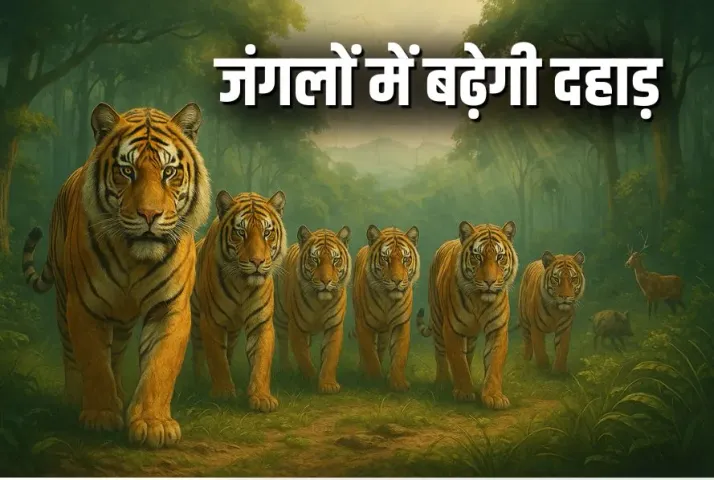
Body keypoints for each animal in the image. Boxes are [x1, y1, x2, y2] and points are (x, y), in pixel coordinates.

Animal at [21, 103, 211, 448]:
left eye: (169, 172)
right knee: (71, 352)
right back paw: (74, 399)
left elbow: (159, 366)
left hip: (122, 319)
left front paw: (152, 423)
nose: (150, 215)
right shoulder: (84, 306)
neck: (134, 258)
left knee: (118, 353)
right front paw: (100, 415)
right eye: (127, 171)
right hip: (63, 298)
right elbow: (94, 361)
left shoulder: (170, 308)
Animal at [190, 190, 287, 413]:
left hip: (232, 331)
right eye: (241, 233)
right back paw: (198, 382)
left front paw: (261, 397)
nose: (257, 261)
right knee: (199, 352)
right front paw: (223, 393)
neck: (243, 285)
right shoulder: (212, 321)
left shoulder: (261, 323)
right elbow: (216, 358)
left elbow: (261, 360)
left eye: (267, 233)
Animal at [274, 225, 352, 394]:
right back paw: (285, 368)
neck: (320, 302)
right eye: (315, 260)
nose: (326, 281)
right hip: (281, 317)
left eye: (335, 260)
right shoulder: (296, 326)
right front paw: (310, 377)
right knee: (282, 342)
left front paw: (328, 385)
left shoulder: (334, 325)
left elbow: (330, 355)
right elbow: (302, 354)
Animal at [352, 225, 420, 392]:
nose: (397, 281)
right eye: (385, 259)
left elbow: (399, 354)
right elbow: (369, 353)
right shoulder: (364, 323)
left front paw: (398, 383)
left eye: (405, 259)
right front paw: (374, 379)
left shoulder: (401, 323)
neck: (387, 299)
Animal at [417, 221, 517, 410]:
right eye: (477, 257)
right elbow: (458, 361)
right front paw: (463, 392)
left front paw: (494, 396)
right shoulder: (452, 329)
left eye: (500, 257)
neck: (480, 300)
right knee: (441, 354)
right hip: (437, 319)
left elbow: (494, 363)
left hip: (470, 336)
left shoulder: (498, 329)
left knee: (468, 356)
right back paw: (442, 383)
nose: (490, 282)